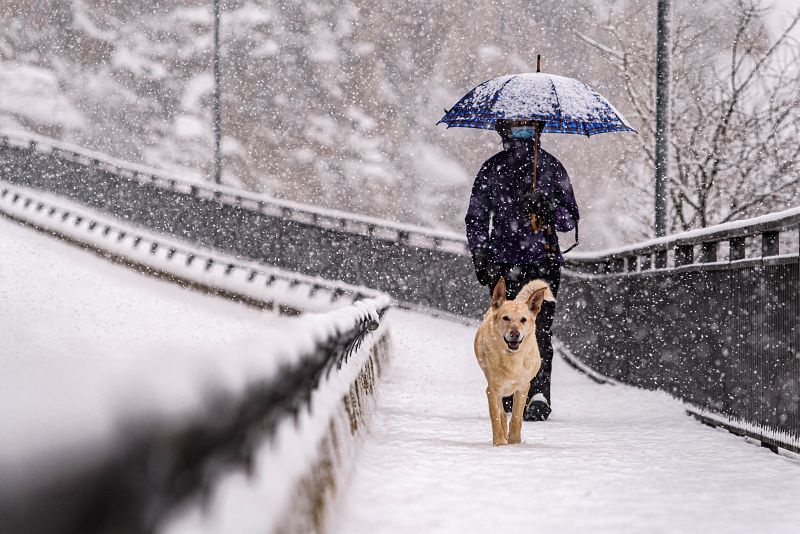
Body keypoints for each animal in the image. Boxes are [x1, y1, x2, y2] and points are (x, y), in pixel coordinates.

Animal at [476, 278, 556, 446]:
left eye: (523, 320)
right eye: (505, 318)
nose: (515, 333)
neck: (511, 357)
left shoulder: (523, 387)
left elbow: (517, 418)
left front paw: (514, 442)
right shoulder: (492, 390)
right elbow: (496, 417)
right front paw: (499, 443)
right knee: (501, 412)